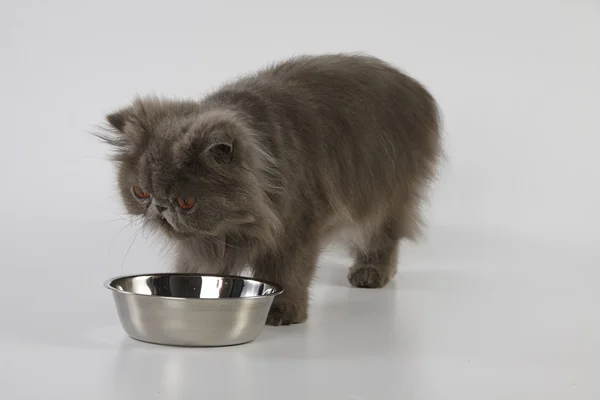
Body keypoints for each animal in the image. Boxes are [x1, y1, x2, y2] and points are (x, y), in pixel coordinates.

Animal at [98, 53, 440, 326]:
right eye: (140, 193)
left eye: (185, 201)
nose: (159, 206)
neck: (233, 228)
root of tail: (416, 89)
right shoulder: (204, 244)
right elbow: (195, 266)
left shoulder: (295, 229)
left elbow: (287, 275)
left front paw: (283, 312)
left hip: (382, 197)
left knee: (381, 237)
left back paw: (370, 273)